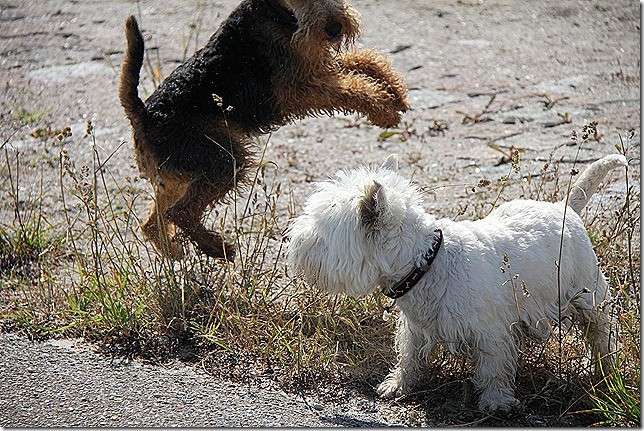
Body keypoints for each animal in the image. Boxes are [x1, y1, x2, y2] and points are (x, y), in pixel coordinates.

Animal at [120, 0, 408, 260]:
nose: (334, 26)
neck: (280, 14)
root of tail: (143, 116)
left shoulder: (316, 66)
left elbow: (362, 60)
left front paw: (395, 91)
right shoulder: (299, 89)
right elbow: (351, 88)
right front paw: (383, 109)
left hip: (177, 176)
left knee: (152, 221)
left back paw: (175, 251)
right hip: (224, 160)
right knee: (179, 212)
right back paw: (218, 249)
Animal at [286, 153, 624, 412]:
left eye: (319, 230)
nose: (290, 241)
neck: (425, 263)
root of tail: (565, 208)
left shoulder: (491, 332)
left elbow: (493, 369)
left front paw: (497, 402)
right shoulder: (415, 329)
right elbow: (408, 358)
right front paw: (397, 385)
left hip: (588, 295)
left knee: (601, 333)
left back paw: (606, 370)